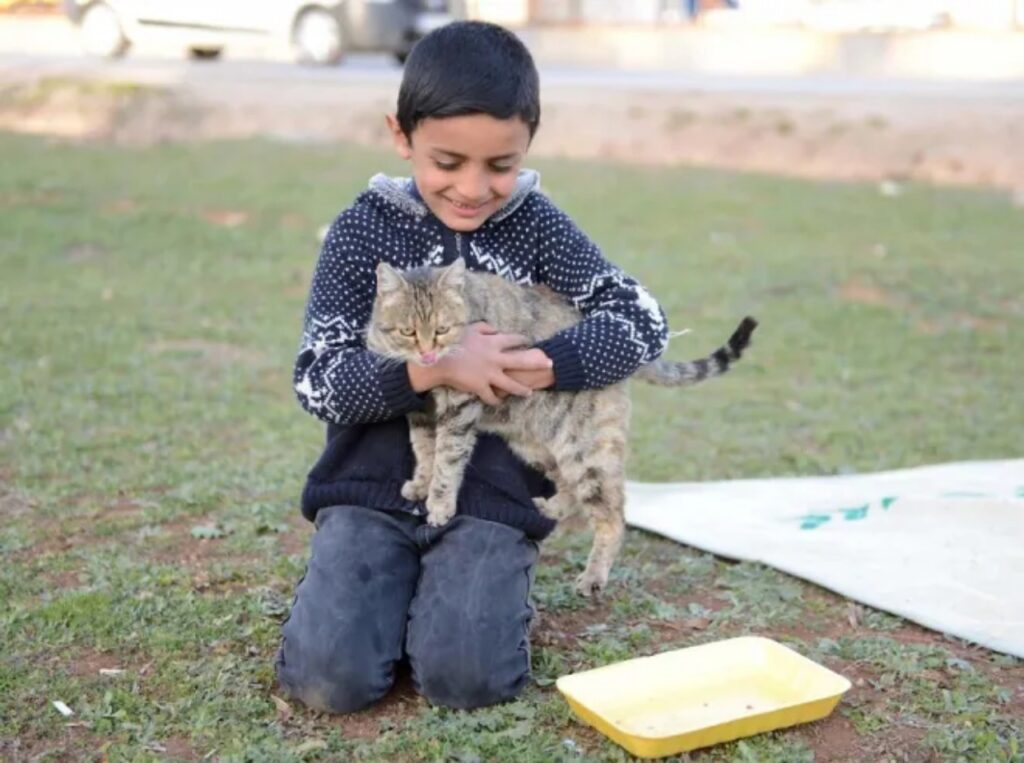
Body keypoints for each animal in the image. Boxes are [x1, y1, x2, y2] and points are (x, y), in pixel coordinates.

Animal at [364, 260, 757, 594]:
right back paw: (552, 508)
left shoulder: (460, 406)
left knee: (613, 515)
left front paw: (439, 504)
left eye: (442, 330)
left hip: (586, 451)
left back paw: (593, 576)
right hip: (539, 445)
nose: (428, 354)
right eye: (408, 331)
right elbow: (423, 449)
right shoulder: (418, 408)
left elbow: (447, 460)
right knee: (569, 486)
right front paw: (420, 485)